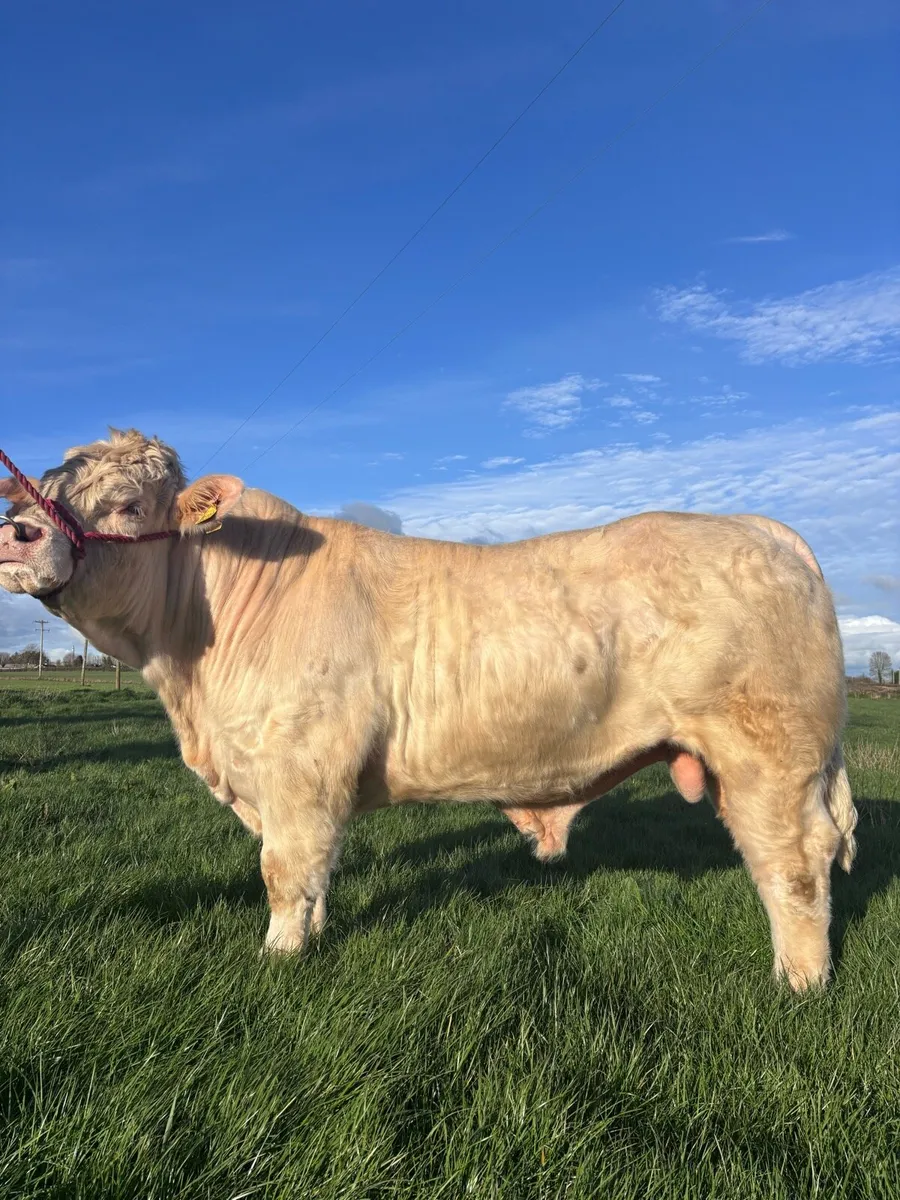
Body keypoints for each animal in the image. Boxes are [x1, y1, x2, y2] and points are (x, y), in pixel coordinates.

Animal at [0, 428, 856, 990]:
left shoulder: (298, 767)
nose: (17, 535)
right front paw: (313, 936)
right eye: (48, 485)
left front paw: (278, 958)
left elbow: (285, 869)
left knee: (792, 864)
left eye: (124, 504)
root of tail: (763, 529)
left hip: (767, 755)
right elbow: (319, 869)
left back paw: (800, 983)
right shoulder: (311, 782)